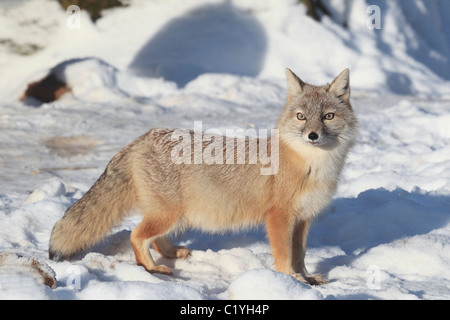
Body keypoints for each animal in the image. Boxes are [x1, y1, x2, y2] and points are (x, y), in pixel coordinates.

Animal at [48, 68, 358, 284]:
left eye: (328, 117)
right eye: (301, 117)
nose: (313, 135)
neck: (314, 167)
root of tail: (144, 136)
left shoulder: (303, 219)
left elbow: (300, 255)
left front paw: (305, 278)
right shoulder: (280, 217)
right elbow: (284, 255)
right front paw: (290, 280)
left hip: (175, 215)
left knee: (154, 238)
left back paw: (171, 254)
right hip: (169, 213)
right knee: (137, 235)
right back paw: (151, 267)